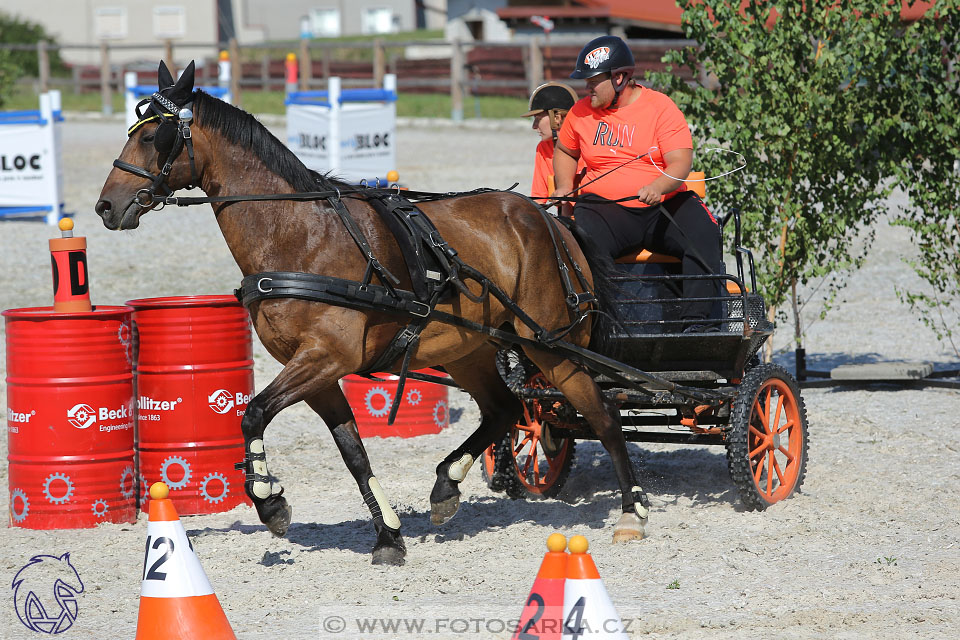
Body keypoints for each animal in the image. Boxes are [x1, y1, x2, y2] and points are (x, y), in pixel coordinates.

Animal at [95, 62, 652, 564]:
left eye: (157, 136)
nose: (105, 207)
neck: (298, 236)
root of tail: (548, 217)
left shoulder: (326, 357)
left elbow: (252, 413)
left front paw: (269, 501)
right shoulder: (317, 372)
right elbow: (354, 453)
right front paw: (388, 535)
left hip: (551, 344)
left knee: (602, 415)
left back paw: (633, 511)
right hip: (469, 349)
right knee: (505, 410)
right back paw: (447, 484)